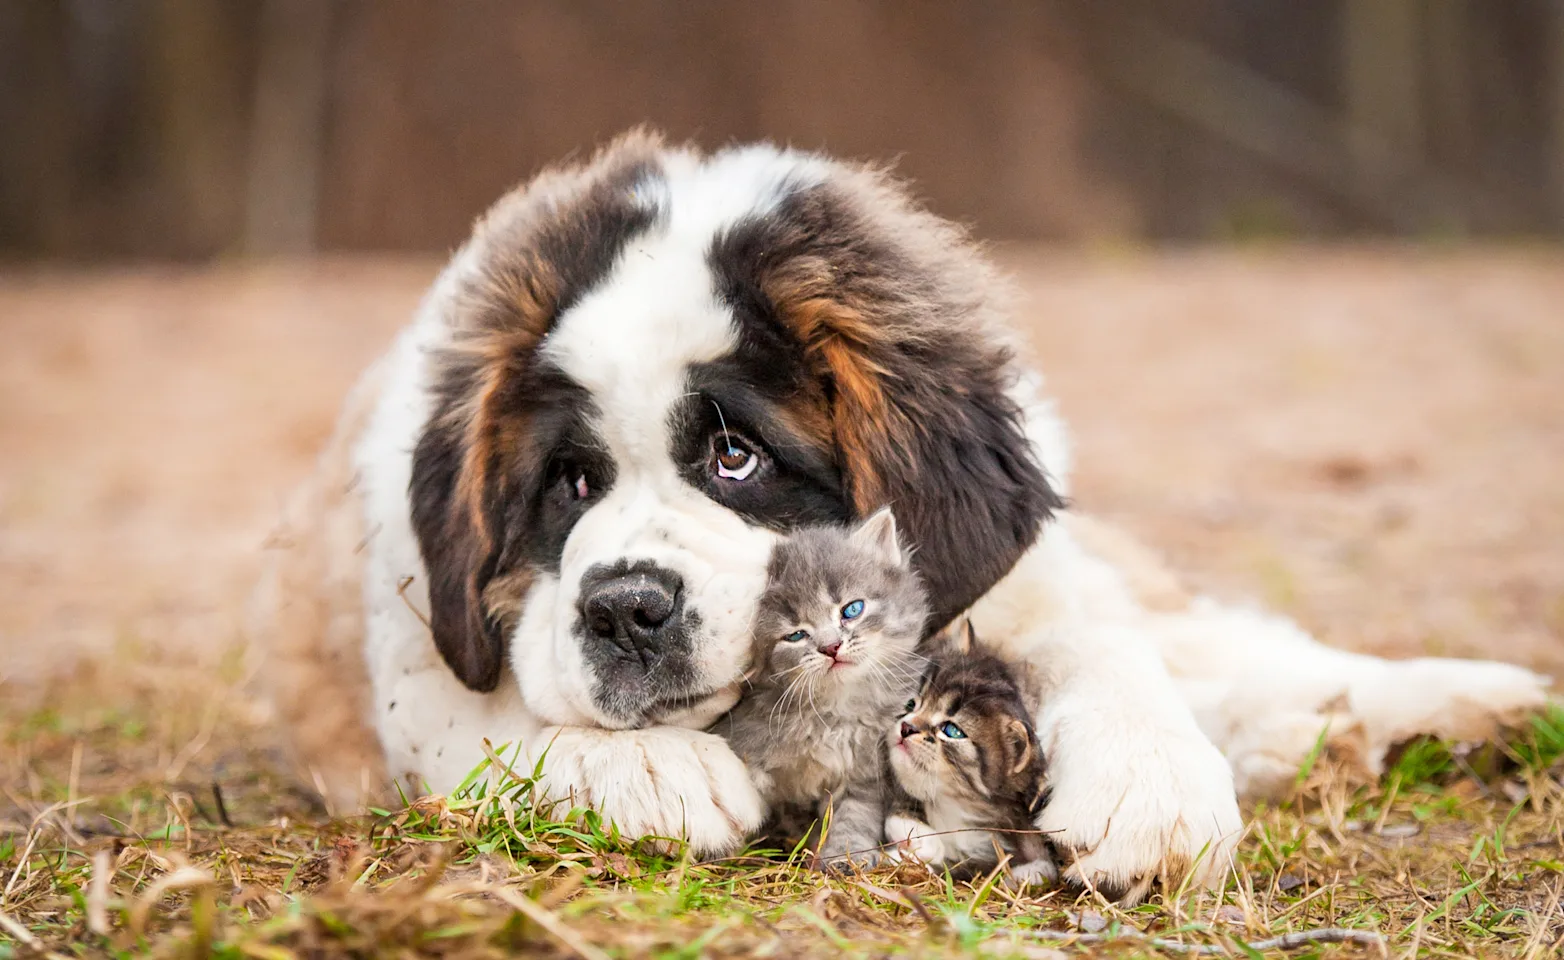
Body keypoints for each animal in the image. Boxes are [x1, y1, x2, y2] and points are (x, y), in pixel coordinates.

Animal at [716, 512, 925, 875]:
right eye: (796, 635)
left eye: (852, 610)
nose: (831, 647)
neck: (831, 715)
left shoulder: (865, 770)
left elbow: (855, 815)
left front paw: (846, 858)